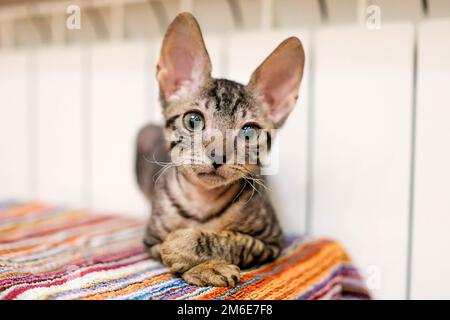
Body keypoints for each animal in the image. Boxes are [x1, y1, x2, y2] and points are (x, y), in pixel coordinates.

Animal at [136, 13, 306, 288]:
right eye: (193, 120)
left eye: (249, 133)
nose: (217, 156)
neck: (203, 202)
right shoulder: (151, 240)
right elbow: (162, 251)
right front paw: (204, 267)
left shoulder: (272, 241)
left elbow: (237, 240)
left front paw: (186, 246)